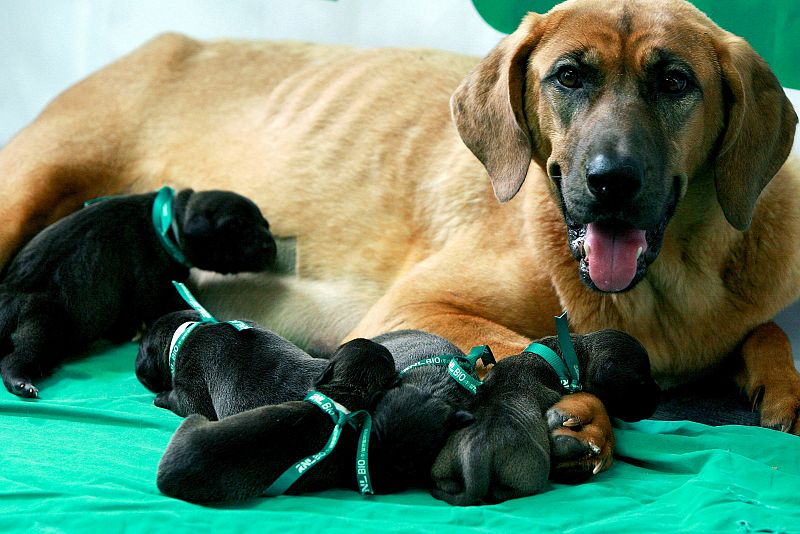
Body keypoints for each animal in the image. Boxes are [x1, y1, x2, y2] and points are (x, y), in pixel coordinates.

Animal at [0, 188, 276, 398]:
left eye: (264, 222)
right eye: (236, 227)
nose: (272, 246)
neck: (170, 227)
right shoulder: (153, 289)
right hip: (44, 325)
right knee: (16, 358)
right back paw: (21, 382)